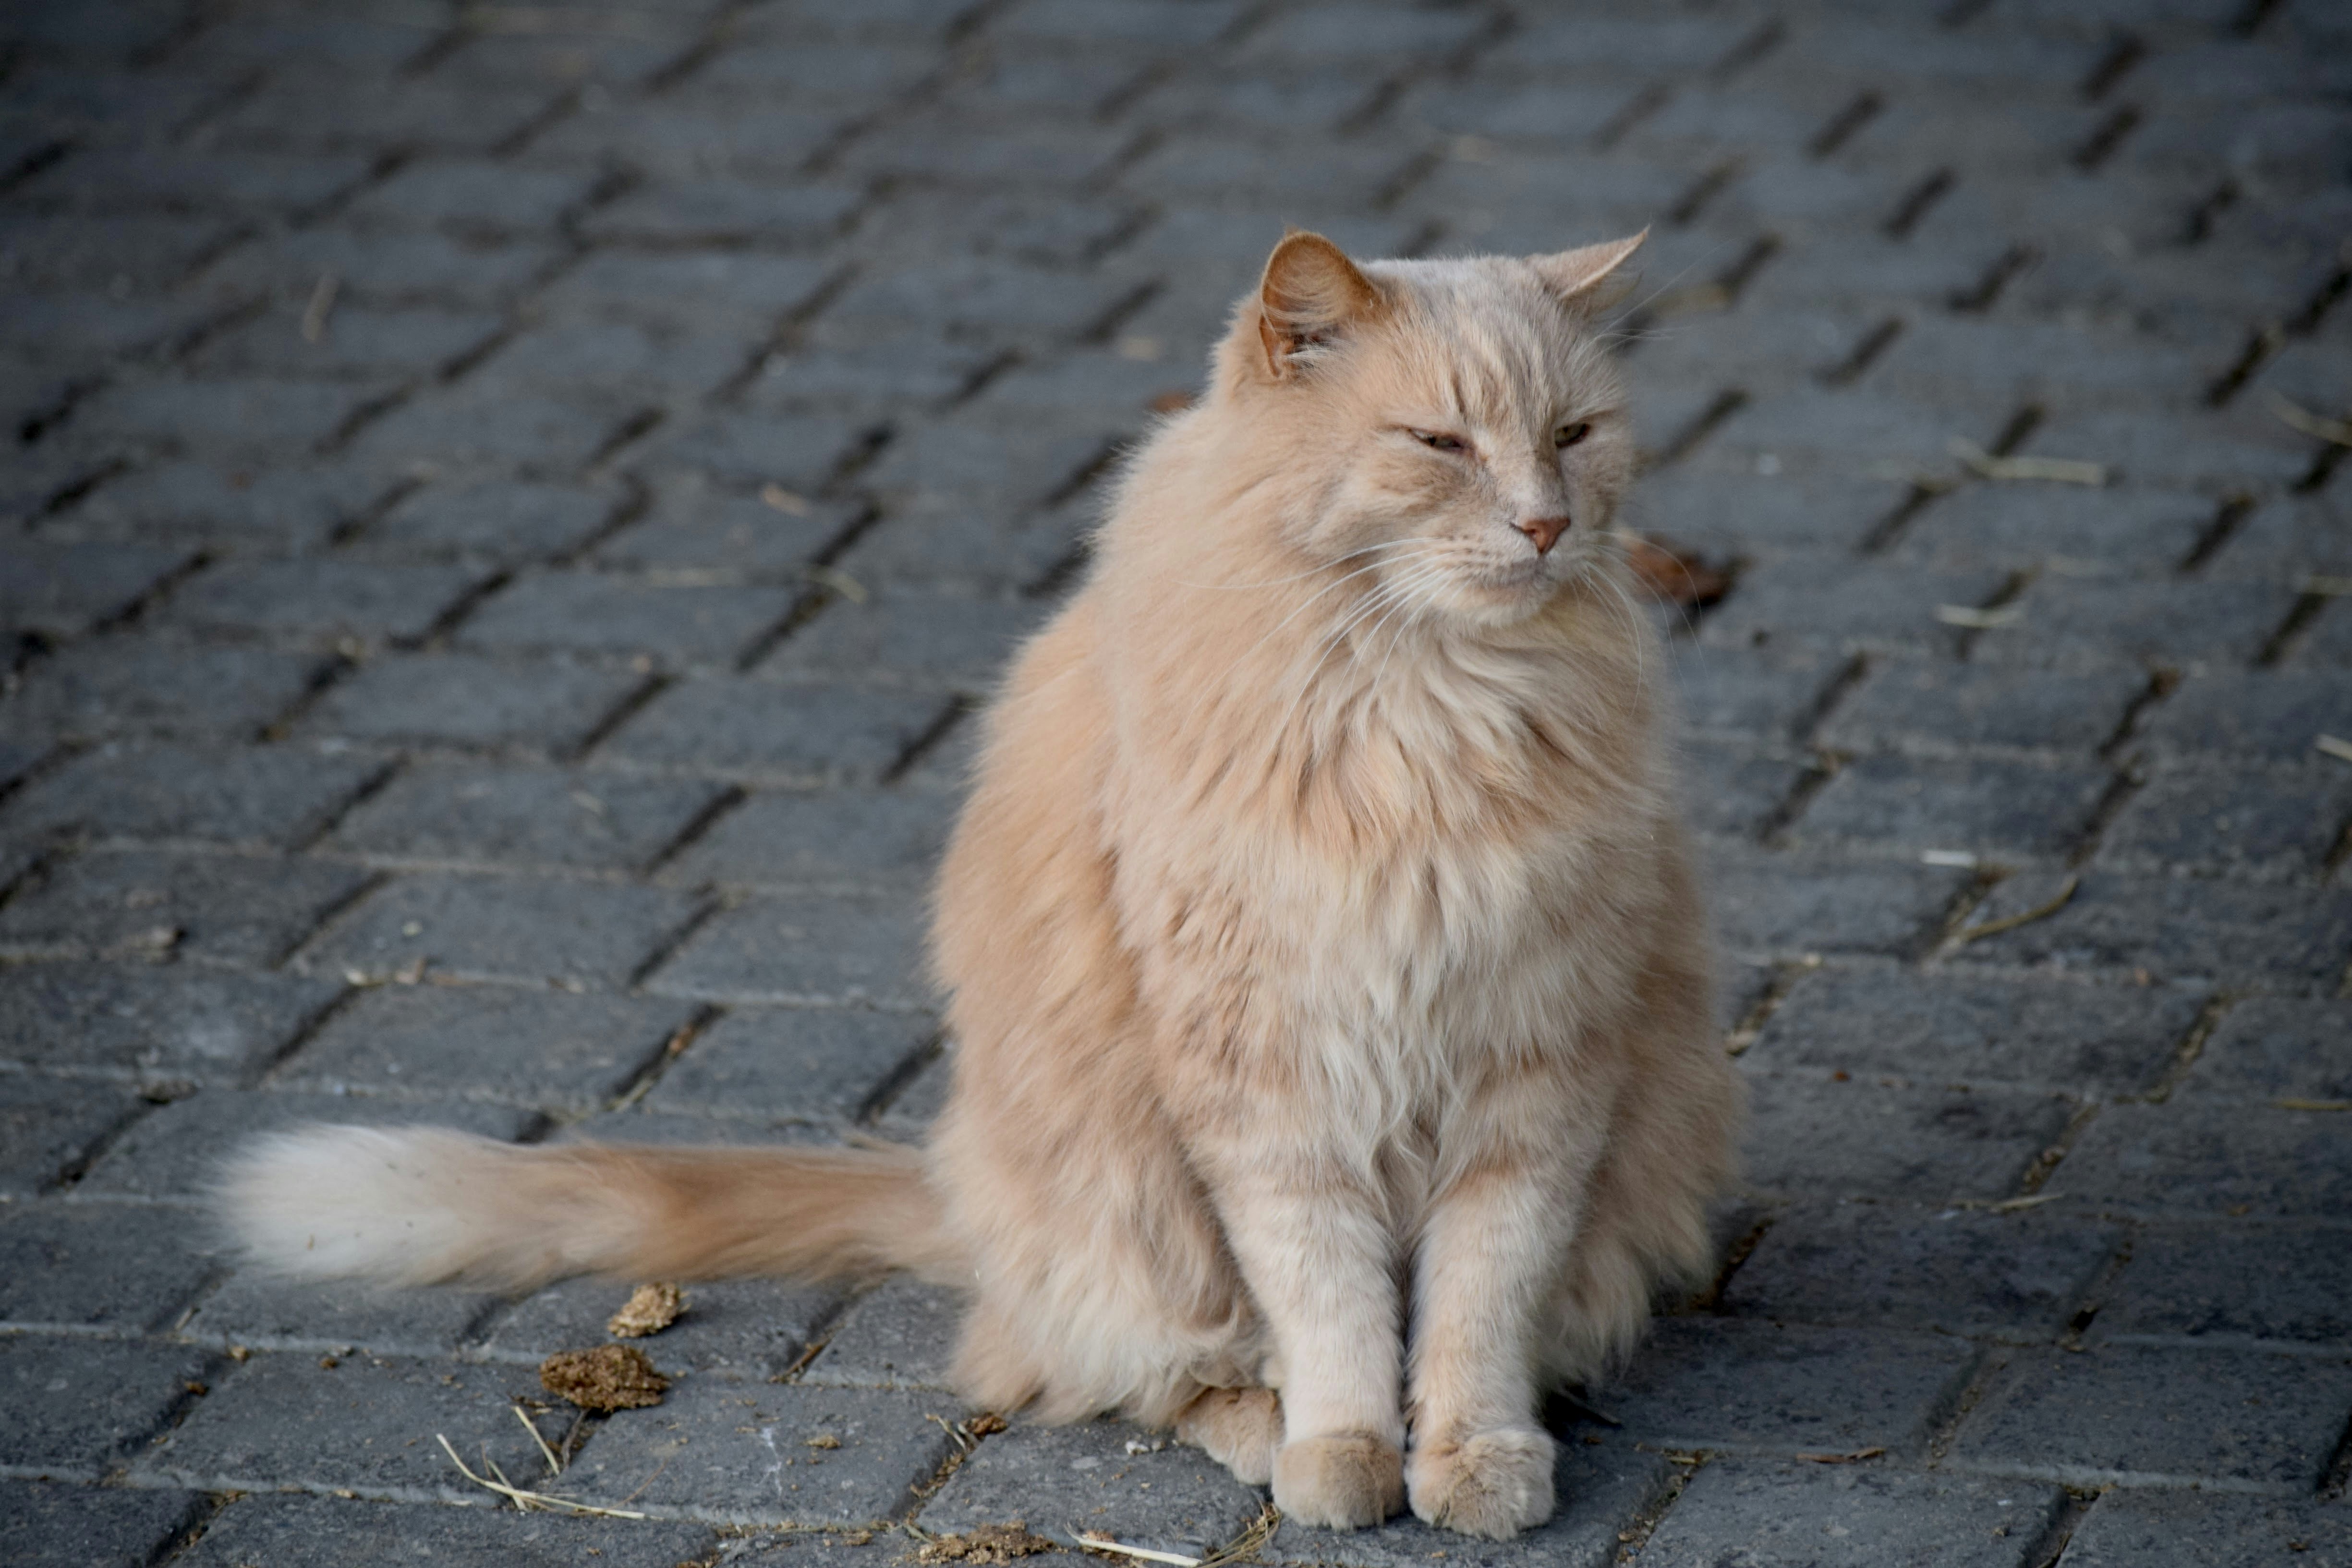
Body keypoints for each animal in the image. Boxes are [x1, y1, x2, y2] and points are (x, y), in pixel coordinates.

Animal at [234, 232, 1750, 1542]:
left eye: (1574, 437)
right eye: (1437, 445)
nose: (1545, 525)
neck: (1428, 724)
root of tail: (956, 1185)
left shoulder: (1536, 1071)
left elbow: (1477, 1306)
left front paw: (1474, 1455)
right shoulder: (1268, 1090)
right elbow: (1329, 1302)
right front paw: (1346, 1452)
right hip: (1122, 1210)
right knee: (1118, 1365)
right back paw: (1262, 1428)